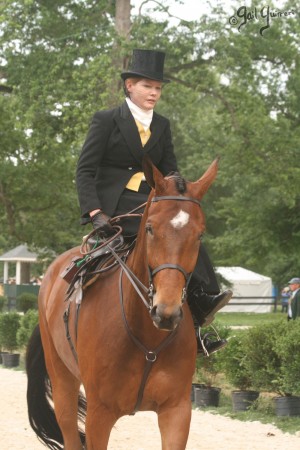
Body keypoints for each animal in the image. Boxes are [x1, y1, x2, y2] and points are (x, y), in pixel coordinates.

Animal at [25, 156, 218, 448]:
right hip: (62, 381)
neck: (147, 336)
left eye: (200, 235)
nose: (166, 311)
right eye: (149, 228)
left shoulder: (177, 411)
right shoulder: (98, 415)